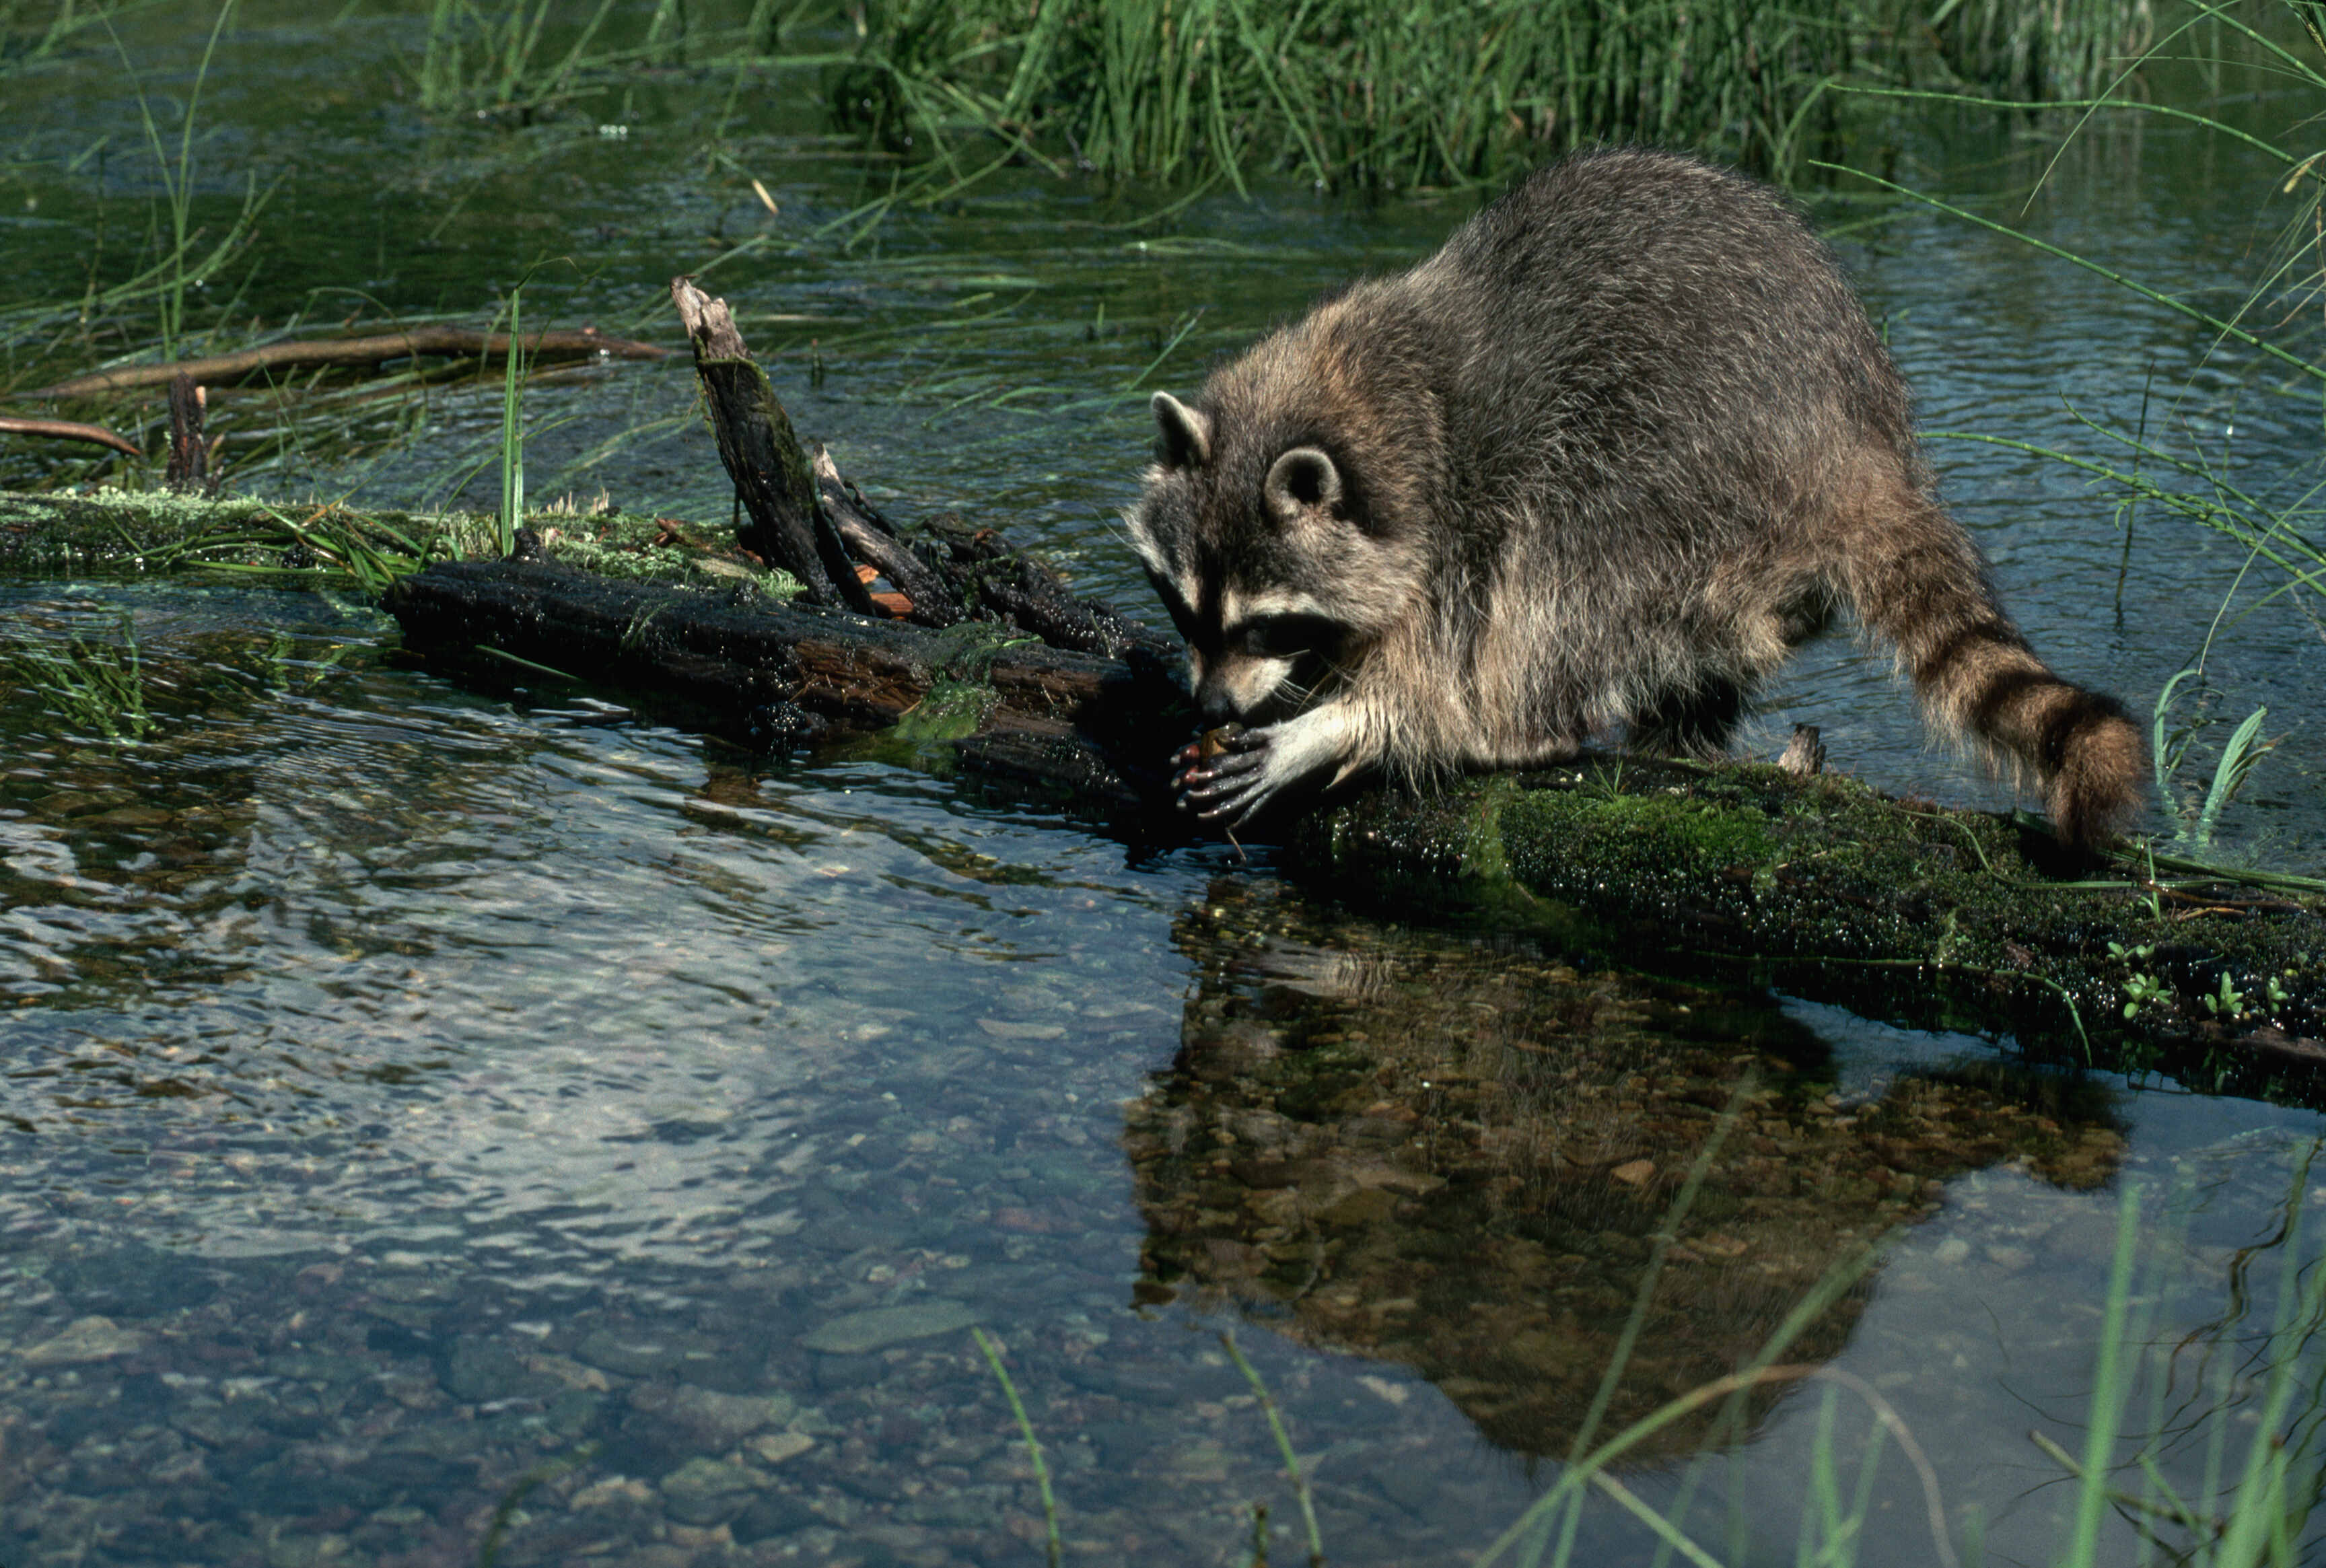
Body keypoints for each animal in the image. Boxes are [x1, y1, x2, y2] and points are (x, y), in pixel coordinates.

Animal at [1125, 149, 2140, 842]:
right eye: (1182, 609)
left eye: (1266, 623)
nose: (1210, 706)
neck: (1377, 400)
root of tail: (1854, 448)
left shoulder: (1458, 517)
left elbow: (1444, 675)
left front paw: (1338, 723)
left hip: (1680, 474)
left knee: (1558, 578)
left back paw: (1521, 730)